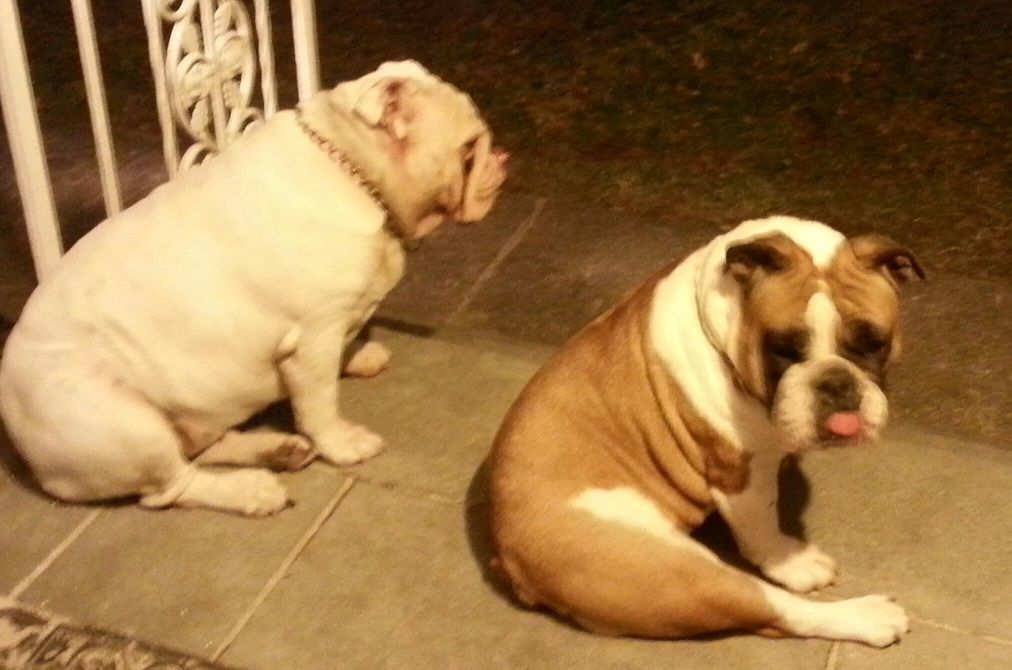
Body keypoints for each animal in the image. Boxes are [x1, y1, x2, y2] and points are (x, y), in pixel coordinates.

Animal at [0, 61, 507, 516]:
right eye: (468, 150)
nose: (502, 158)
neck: (351, 168)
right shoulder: (313, 338)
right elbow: (320, 405)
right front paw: (342, 443)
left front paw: (360, 354)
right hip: (127, 428)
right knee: (173, 485)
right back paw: (252, 490)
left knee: (199, 449)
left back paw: (277, 451)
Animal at [489, 216, 923, 646]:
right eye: (782, 350)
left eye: (874, 343)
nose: (835, 383)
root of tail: (509, 561)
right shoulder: (741, 478)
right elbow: (762, 529)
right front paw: (790, 561)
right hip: (678, 572)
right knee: (777, 609)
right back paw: (865, 616)